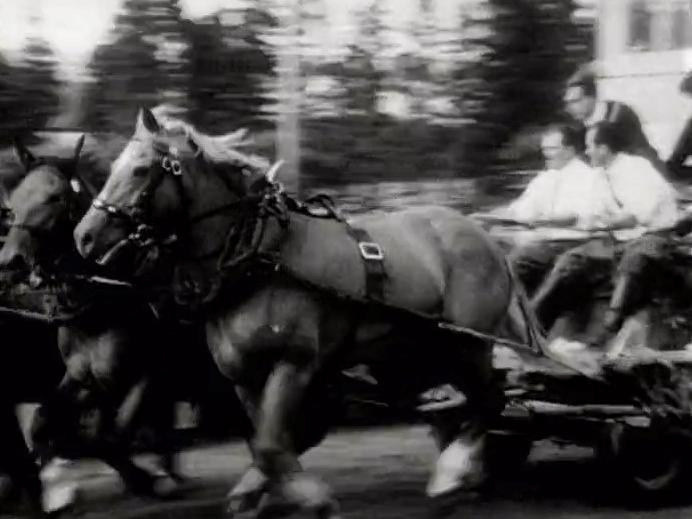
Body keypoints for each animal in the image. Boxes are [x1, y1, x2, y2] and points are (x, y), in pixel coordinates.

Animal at [0, 136, 187, 512]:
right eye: (14, 201)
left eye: (55, 197)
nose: (11, 261)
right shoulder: (85, 378)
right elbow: (46, 423)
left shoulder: (146, 372)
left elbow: (111, 432)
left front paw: (143, 478)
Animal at [70, 107, 536, 516]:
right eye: (114, 165)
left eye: (140, 170)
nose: (84, 236)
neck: (259, 257)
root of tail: (488, 239)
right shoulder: (244, 375)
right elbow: (271, 442)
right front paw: (253, 493)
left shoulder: (294, 363)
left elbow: (275, 443)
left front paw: (311, 498)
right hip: (427, 348)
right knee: (473, 403)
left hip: (468, 344)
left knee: (491, 400)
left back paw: (453, 473)